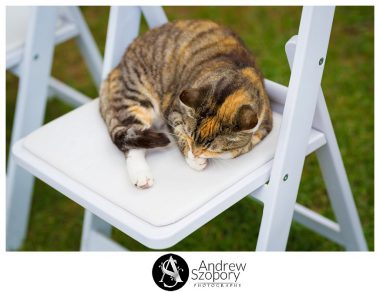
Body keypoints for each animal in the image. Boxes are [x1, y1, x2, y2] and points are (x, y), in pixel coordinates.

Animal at [100, 20, 274, 189]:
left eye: (210, 147)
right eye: (192, 137)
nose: (196, 153)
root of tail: (117, 67)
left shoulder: (265, 124)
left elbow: (241, 148)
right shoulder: (173, 107)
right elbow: (179, 132)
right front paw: (193, 159)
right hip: (134, 95)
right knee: (130, 138)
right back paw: (142, 176)